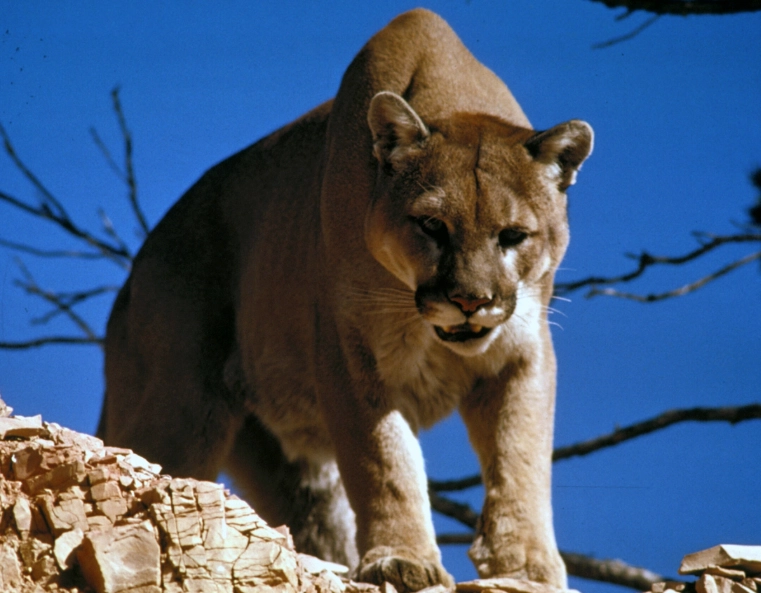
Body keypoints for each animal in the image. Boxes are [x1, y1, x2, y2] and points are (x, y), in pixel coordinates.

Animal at [98, 9, 593, 592]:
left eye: (514, 236)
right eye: (432, 226)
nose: (471, 301)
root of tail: (134, 274)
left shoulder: (522, 352)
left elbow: (521, 458)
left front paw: (527, 566)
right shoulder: (350, 354)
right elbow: (384, 461)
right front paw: (403, 560)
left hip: (288, 464)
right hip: (179, 408)